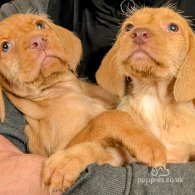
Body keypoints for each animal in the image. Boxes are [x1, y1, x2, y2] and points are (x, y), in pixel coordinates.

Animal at [0, 14, 166, 192]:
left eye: (39, 25)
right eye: (5, 46)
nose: (38, 40)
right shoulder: (66, 146)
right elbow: (107, 118)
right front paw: (149, 145)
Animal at [94, 6, 195, 163]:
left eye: (173, 27)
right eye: (129, 27)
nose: (139, 33)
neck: (152, 97)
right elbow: (112, 116)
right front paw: (148, 145)